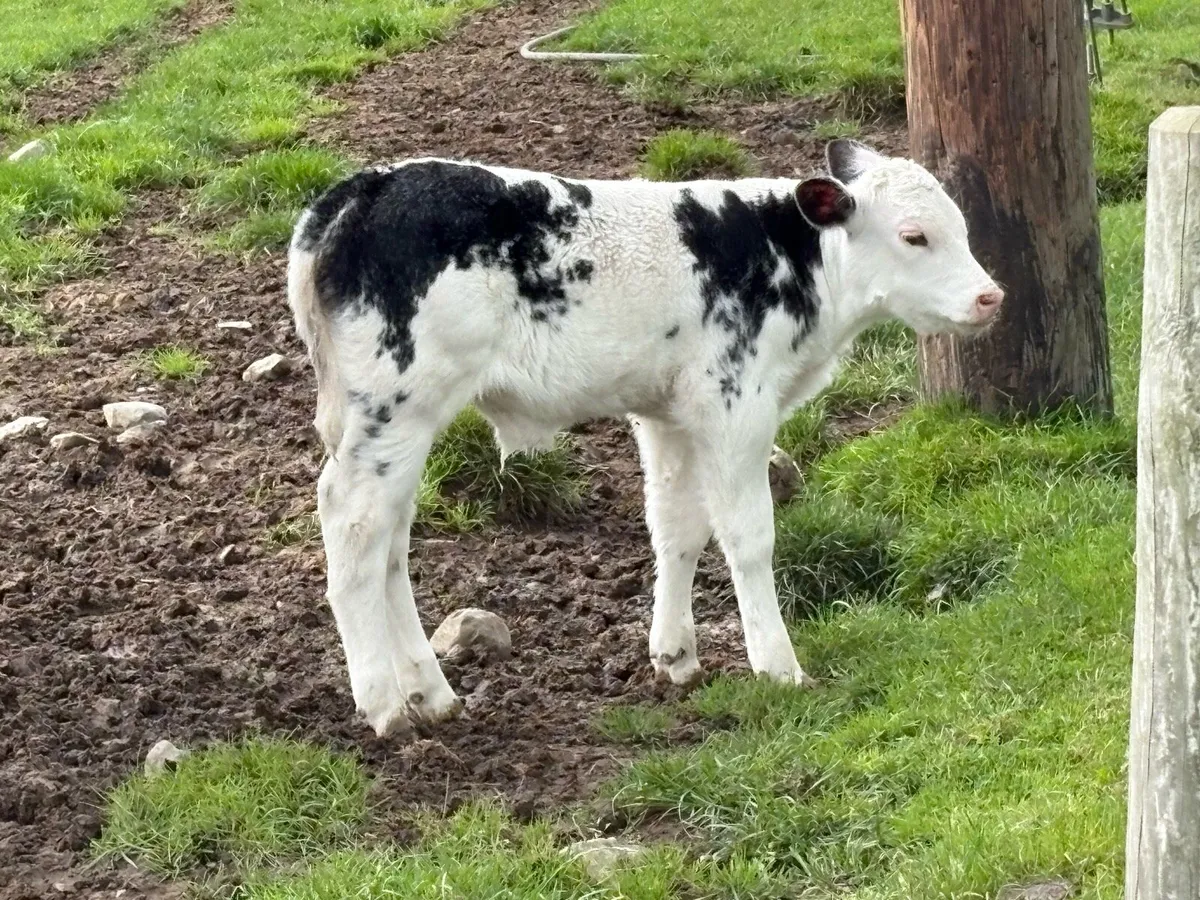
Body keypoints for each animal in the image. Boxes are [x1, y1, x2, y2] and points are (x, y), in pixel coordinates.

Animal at [286, 139, 1003, 737]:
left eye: (963, 229)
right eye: (914, 236)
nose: (990, 296)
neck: (792, 264)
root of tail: (361, 191)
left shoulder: (668, 414)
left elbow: (675, 527)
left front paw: (675, 654)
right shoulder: (735, 404)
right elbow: (748, 536)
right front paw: (778, 665)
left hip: (398, 425)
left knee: (391, 543)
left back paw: (430, 694)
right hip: (396, 407)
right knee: (353, 524)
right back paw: (383, 703)